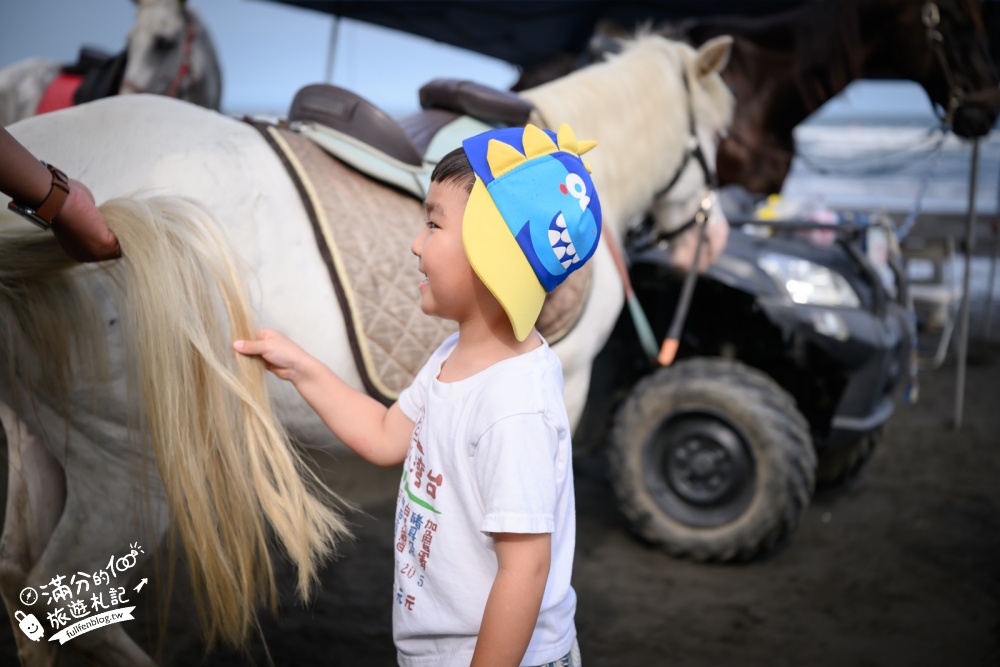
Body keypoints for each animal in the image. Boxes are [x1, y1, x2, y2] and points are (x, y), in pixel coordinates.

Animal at [0, 33, 734, 665]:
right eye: (722, 135)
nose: (716, 240)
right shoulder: (570, 388)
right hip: (128, 466)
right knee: (70, 607)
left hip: (48, 443)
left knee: (26, 589)